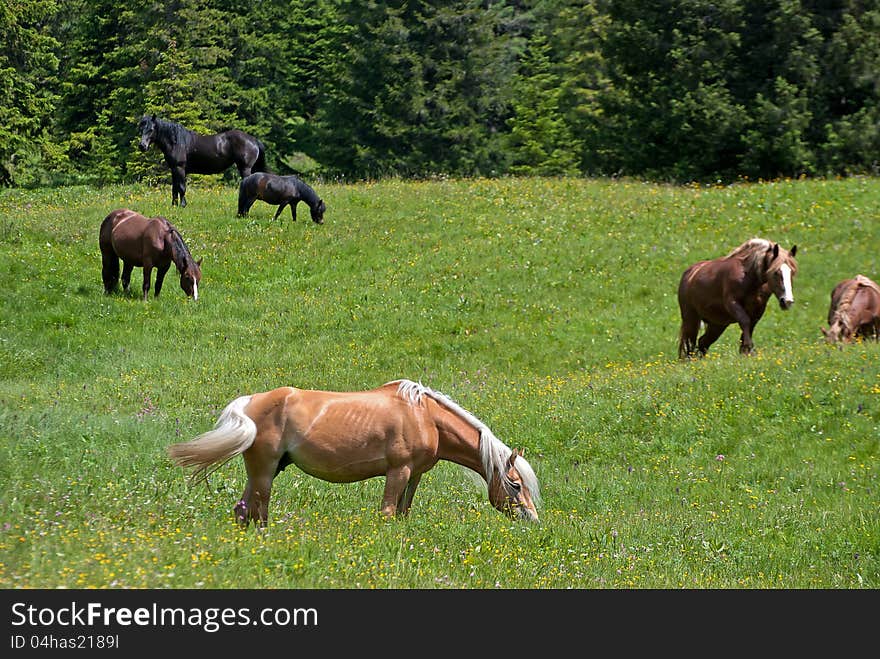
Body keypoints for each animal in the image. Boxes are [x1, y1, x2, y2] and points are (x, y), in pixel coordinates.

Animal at [137, 114, 268, 209]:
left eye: (151, 129)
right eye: (141, 128)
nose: (142, 146)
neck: (176, 142)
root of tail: (253, 140)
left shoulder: (180, 168)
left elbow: (181, 187)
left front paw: (183, 205)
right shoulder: (174, 169)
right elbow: (174, 189)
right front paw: (174, 206)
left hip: (245, 168)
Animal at [164, 382, 536, 524]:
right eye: (516, 485)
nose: (531, 518)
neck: (425, 416)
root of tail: (251, 401)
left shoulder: (414, 475)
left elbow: (403, 513)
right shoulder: (398, 471)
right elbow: (387, 513)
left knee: (244, 510)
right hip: (264, 471)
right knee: (258, 510)